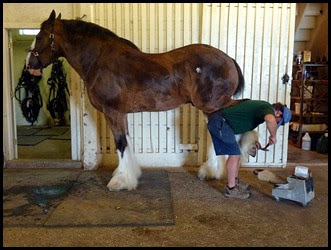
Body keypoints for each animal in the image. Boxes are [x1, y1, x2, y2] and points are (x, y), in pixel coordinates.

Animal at [26, 9, 246, 190]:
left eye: (39, 36)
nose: (29, 65)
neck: (98, 60)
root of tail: (228, 59)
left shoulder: (112, 112)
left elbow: (120, 143)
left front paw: (120, 181)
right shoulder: (121, 114)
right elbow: (126, 141)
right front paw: (128, 174)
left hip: (212, 104)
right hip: (211, 107)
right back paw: (213, 170)